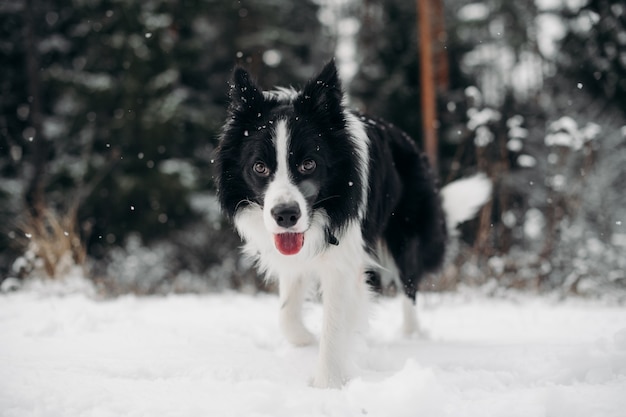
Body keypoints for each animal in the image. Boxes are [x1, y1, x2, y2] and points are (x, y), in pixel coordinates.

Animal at [217, 60, 490, 388]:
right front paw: (307, 341)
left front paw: (329, 383)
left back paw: (410, 338)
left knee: (409, 287)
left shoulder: (343, 257)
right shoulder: (298, 256)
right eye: (259, 167)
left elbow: (334, 322)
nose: (285, 215)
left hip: (404, 236)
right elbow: (287, 315)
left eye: (309, 164)